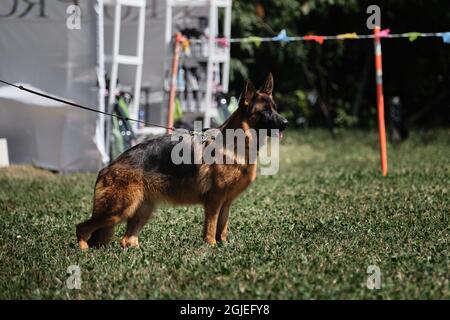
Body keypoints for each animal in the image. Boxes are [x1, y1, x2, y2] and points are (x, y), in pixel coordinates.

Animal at [76, 74, 288, 249]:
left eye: (275, 109)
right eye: (265, 111)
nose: (286, 123)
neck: (236, 141)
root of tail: (107, 168)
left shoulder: (226, 202)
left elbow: (223, 227)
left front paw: (224, 245)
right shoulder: (214, 200)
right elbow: (211, 227)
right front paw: (211, 246)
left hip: (141, 209)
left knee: (126, 240)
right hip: (118, 210)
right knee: (82, 227)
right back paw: (83, 250)